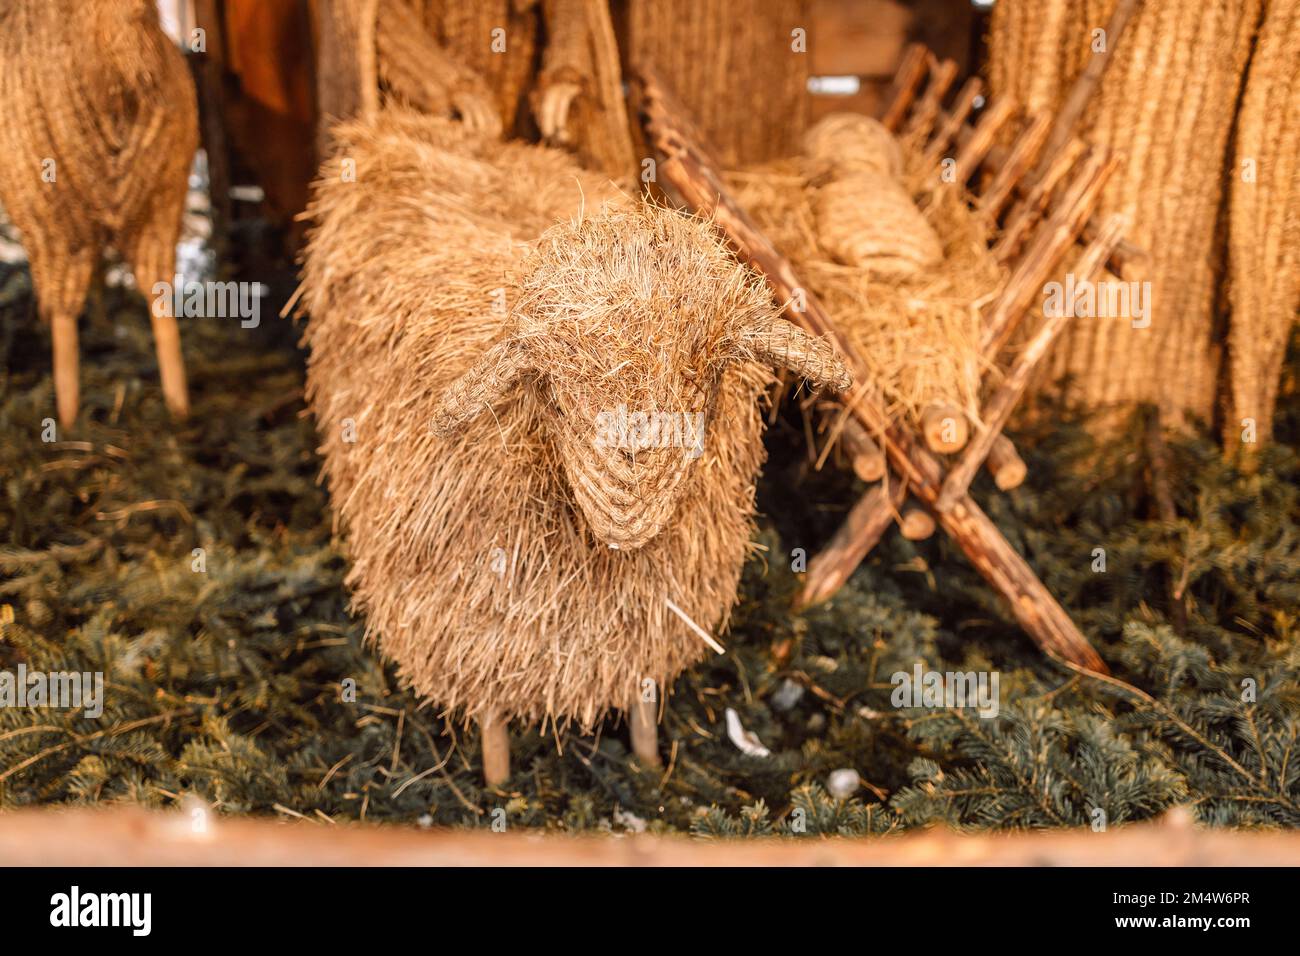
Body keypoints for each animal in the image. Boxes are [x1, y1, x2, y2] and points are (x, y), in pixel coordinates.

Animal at [0, 0, 198, 427]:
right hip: (160, 198)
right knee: (158, 297)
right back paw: (178, 405)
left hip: (51, 215)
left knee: (63, 318)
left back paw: (69, 415)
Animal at [298, 108, 850, 781]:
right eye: (556, 394)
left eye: (707, 383)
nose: (628, 506)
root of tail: (397, 128)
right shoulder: (475, 640)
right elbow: (491, 721)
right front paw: (499, 784)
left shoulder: (642, 639)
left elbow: (642, 703)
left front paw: (647, 763)